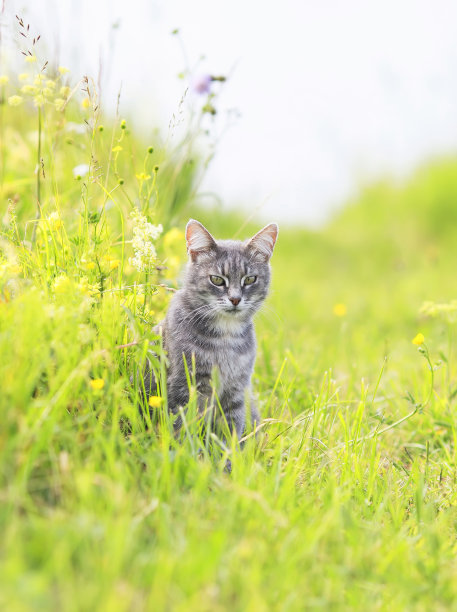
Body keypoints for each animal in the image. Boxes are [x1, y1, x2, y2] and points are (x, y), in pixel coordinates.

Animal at [142, 220, 278, 440]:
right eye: (217, 279)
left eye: (250, 279)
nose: (235, 299)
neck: (226, 336)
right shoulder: (185, 384)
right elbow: (183, 427)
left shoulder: (236, 390)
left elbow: (230, 431)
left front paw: (227, 450)